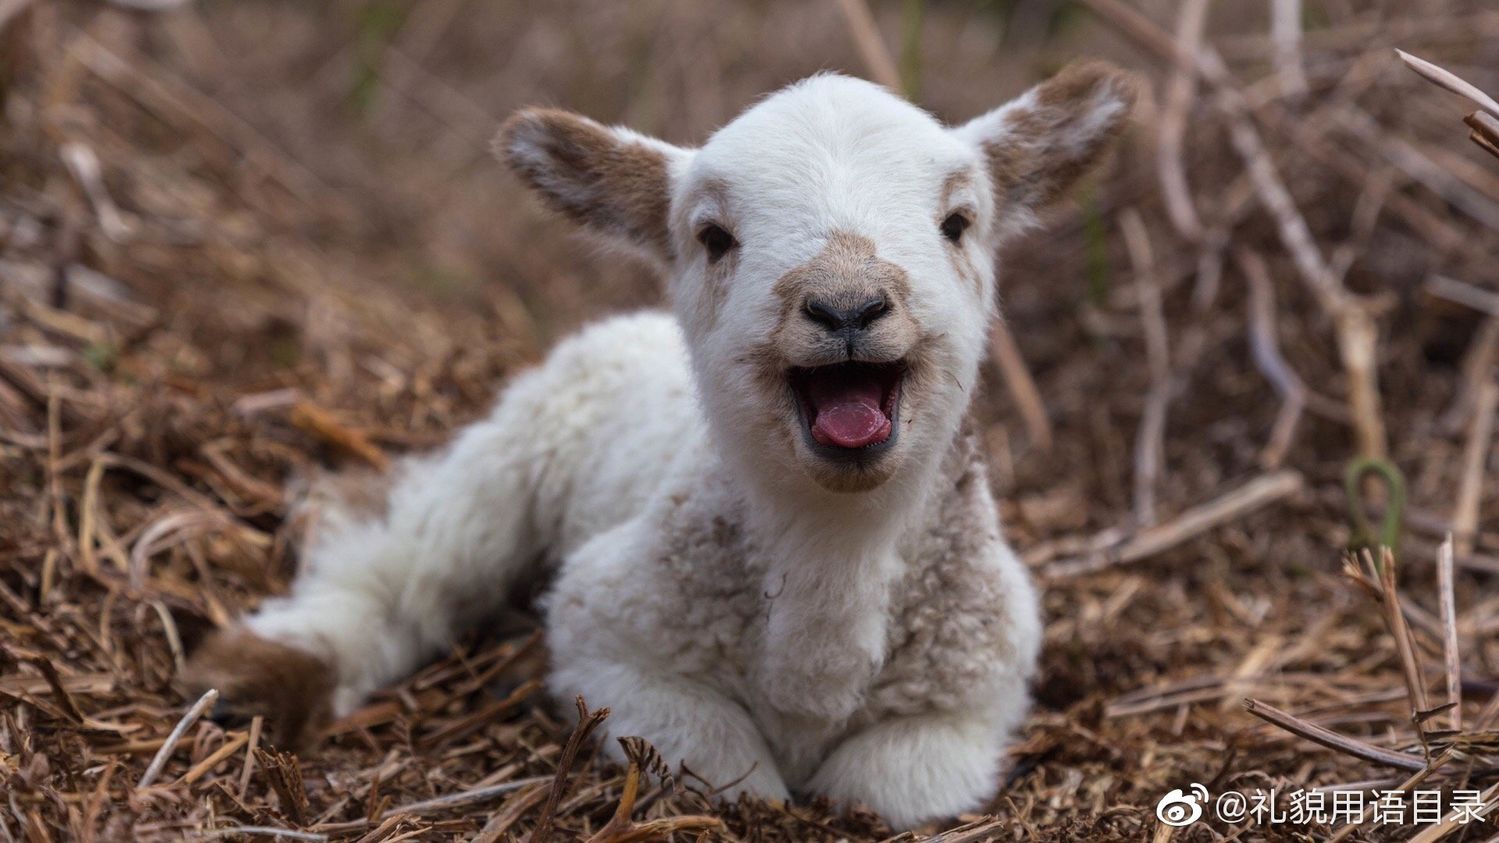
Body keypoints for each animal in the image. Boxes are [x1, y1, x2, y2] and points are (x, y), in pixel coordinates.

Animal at [181, 62, 1127, 822]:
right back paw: (264, 670)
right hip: (522, 443)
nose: (847, 306)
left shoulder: (977, 688)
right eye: (712, 237)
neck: (834, 547)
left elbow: (887, 788)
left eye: (958, 222)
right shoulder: (610, 633)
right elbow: (729, 769)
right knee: (408, 555)